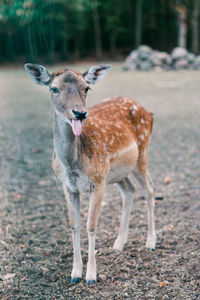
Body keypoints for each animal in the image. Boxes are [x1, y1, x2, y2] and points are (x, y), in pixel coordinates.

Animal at [24, 63, 156, 284]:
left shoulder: (98, 182)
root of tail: (149, 113)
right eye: (54, 88)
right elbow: (74, 224)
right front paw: (75, 272)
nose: (79, 113)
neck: (73, 164)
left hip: (141, 154)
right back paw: (119, 243)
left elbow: (91, 225)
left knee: (150, 189)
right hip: (117, 172)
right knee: (129, 190)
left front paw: (91, 275)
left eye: (87, 88)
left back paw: (151, 241)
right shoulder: (68, 186)